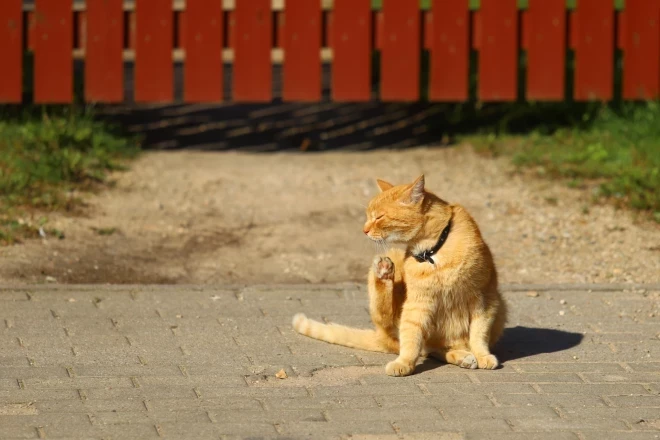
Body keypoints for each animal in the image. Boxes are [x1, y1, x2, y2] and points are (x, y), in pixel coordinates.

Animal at [292, 175, 508, 374]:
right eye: (368, 216)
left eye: (379, 217)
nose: (364, 230)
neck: (432, 250)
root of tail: (382, 338)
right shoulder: (417, 302)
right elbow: (411, 337)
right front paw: (404, 363)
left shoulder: (484, 298)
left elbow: (479, 334)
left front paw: (482, 355)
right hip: (391, 262)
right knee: (407, 332)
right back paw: (384, 272)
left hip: (500, 305)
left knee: (436, 349)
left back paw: (464, 356)